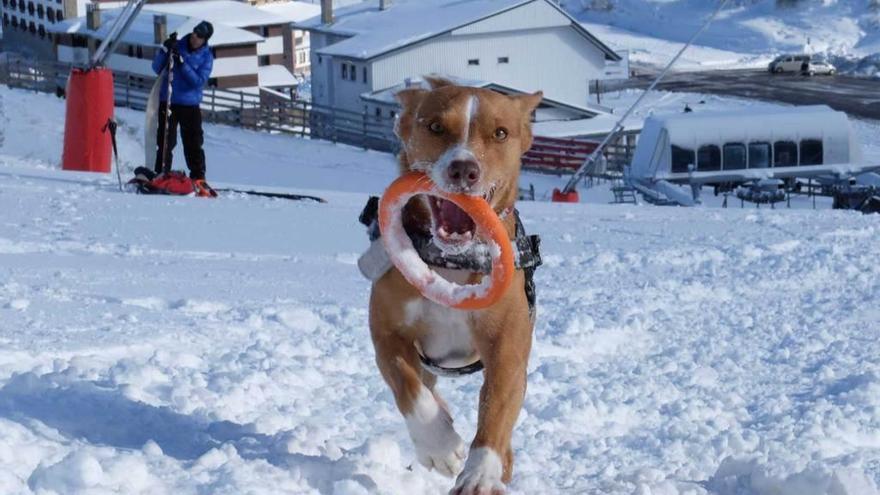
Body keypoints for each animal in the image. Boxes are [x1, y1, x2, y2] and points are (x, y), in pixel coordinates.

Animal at [366, 79, 544, 494]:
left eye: (500, 133)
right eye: (434, 127)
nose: (465, 168)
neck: (454, 264)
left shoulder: (507, 349)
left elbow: (495, 412)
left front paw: (480, 474)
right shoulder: (387, 334)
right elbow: (411, 390)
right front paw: (441, 447)